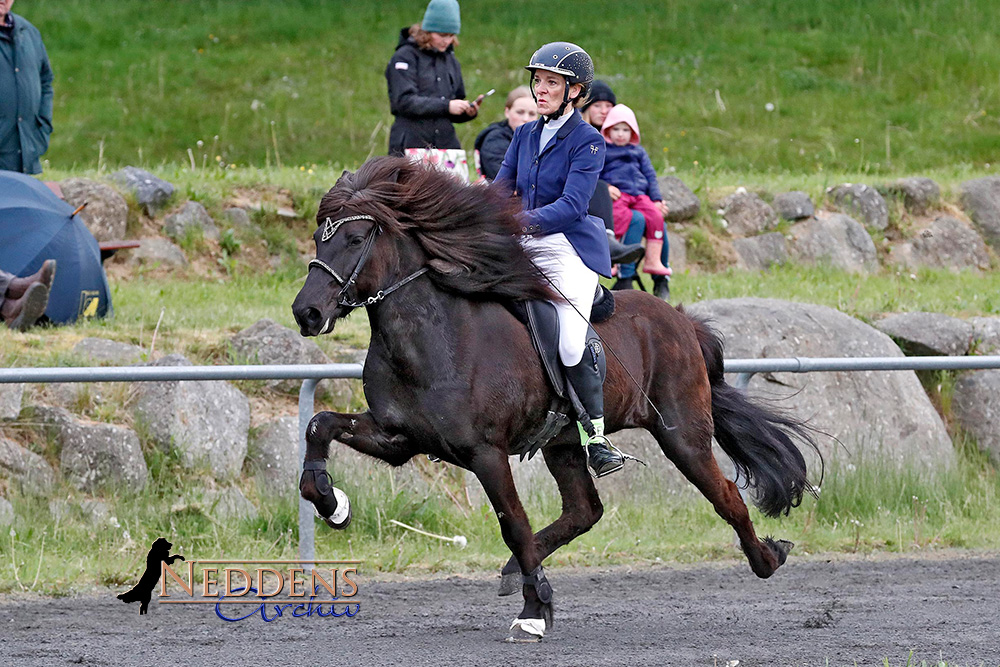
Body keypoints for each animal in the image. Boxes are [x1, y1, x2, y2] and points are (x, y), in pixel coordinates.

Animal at [292, 157, 820, 640]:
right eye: (318, 238)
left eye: (354, 240)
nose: (306, 313)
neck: (433, 337)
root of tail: (682, 321)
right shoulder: (398, 438)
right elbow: (319, 424)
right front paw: (331, 502)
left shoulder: (485, 453)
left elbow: (514, 523)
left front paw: (535, 609)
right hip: (564, 443)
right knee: (585, 510)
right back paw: (513, 572)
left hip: (682, 434)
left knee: (726, 494)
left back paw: (767, 557)